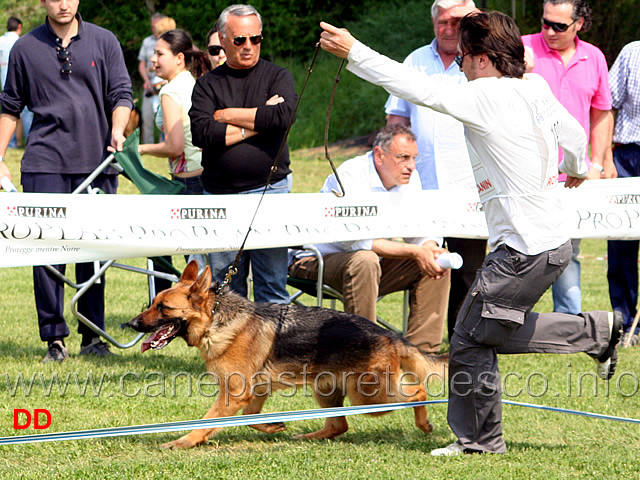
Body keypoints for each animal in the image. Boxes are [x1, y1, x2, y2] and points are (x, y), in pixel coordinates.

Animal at [125, 260, 444, 448]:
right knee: (338, 425)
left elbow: (208, 420)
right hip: (332, 392)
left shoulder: (234, 394)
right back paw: (305, 436)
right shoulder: (254, 392)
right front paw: (273, 426)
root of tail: (391, 335)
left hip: (368, 397)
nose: (131, 325)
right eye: (152, 303)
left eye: (163, 308)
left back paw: (423, 423)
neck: (216, 321)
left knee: (418, 391)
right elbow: (251, 418)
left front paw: (185, 441)